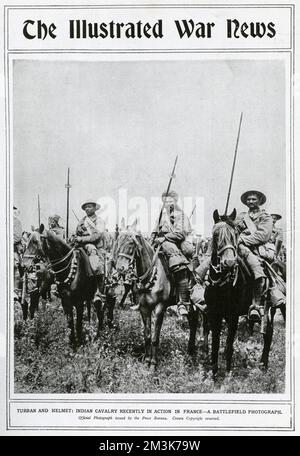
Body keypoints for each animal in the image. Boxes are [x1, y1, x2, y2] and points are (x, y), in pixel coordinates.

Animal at [113, 224, 200, 370]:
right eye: (118, 242)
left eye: (131, 243)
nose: (120, 268)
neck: (151, 275)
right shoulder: (144, 308)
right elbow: (147, 336)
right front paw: (147, 361)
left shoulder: (160, 308)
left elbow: (155, 338)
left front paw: (153, 364)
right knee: (193, 323)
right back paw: (190, 350)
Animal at [205, 209, 278, 378]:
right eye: (215, 234)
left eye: (235, 234)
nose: (229, 262)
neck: (223, 285)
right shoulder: (214, 314)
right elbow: (215, 344)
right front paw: (213, 374)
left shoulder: (233, 316)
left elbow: (229, 345)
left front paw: (228, 374)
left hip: (270, 308)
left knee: (268, 333)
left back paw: (264, 366)